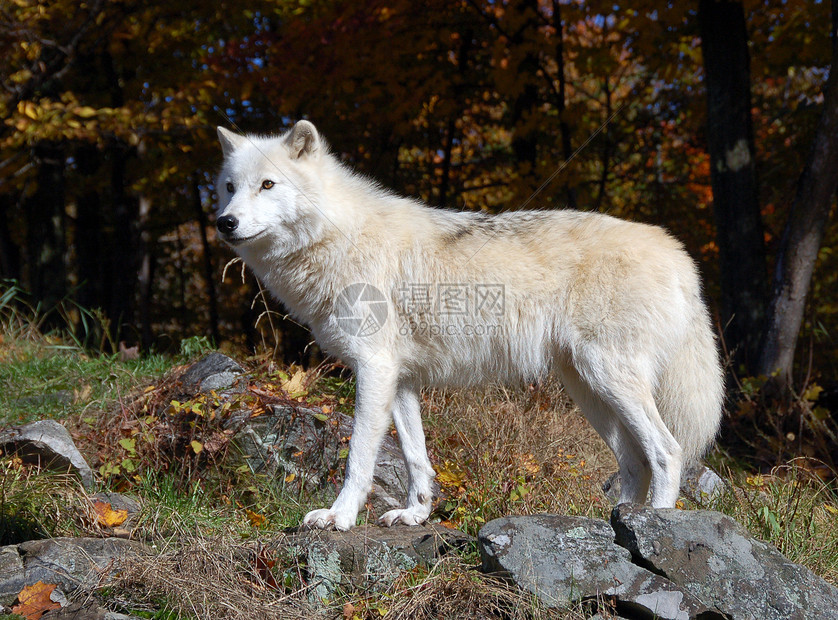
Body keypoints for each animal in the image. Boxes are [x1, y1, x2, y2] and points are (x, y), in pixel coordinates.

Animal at [217, 120, 728, 528]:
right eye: (228, 187)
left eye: (268, 184)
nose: (224, 222)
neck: (337, 235)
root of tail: (676, 251)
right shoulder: (399, 380)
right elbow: (417, 458)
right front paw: (415, 514)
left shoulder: (374, 369)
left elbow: (358, 457)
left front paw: (338, 518)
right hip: (589, 390)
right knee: (633, 461)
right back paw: (617, 523)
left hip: (610, 380)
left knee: (666, 452)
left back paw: (655, 527)